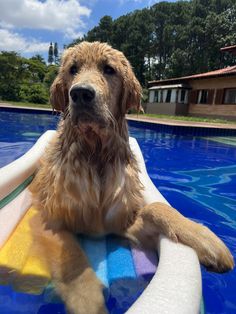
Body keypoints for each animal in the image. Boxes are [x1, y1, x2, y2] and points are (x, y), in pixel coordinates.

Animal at [30, 42, 234, 314]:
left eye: (109, 69)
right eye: (73, 69)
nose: (81, 94)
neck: (95, 155)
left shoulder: (120, 223)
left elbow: (156, 208)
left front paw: (205, 239)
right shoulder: (51, 222)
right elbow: (73, 259)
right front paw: (88, 300)